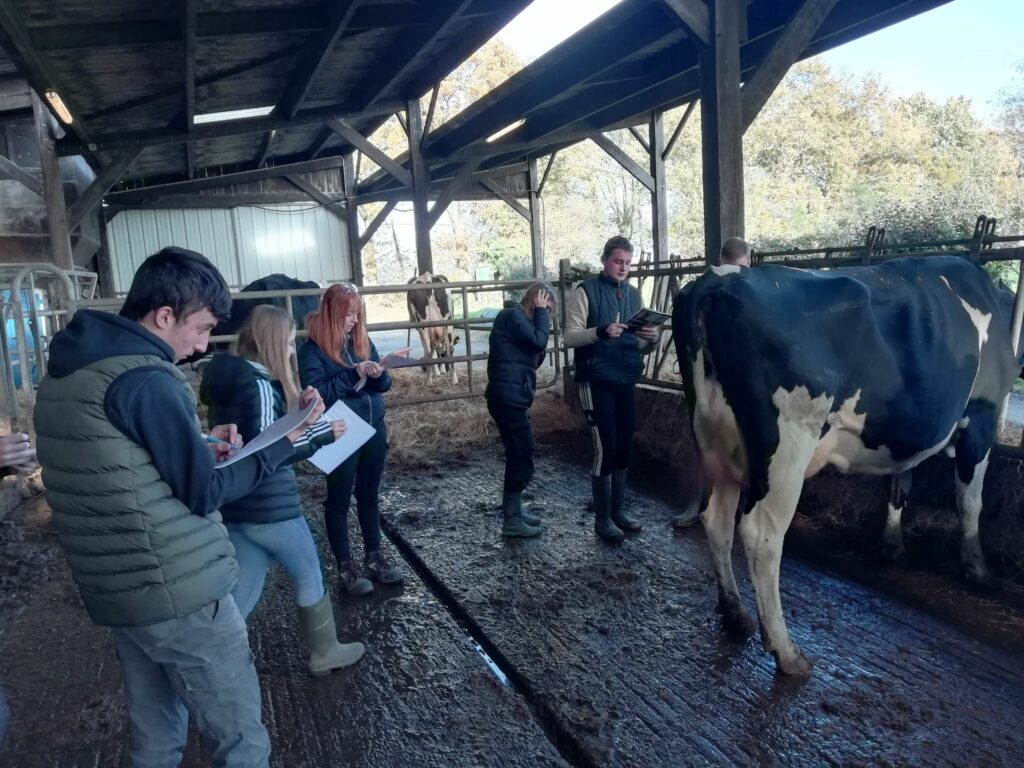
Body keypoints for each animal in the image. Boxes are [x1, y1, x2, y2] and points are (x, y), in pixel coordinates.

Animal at [671, 256, 1024, 675]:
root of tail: (716, 282)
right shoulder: (981, 419)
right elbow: (971, 502)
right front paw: (977, 568)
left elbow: (900, 485)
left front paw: (893, 545)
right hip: (788, 447)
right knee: (761, 535)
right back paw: (785, 650)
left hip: (714, 442)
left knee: (717, 521)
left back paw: (734, 614)